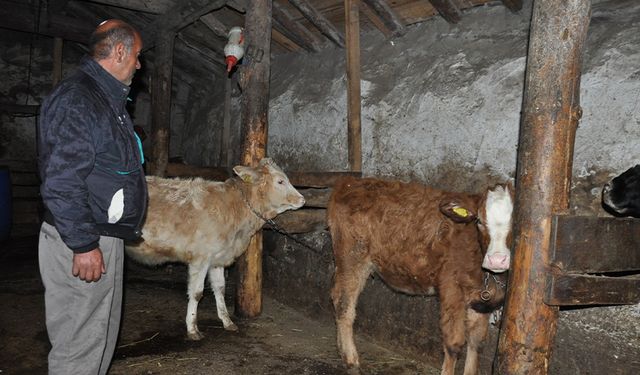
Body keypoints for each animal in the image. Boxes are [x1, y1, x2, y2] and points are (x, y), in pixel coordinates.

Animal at [126, 159, 306, 340]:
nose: (302, 199)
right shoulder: (201, 257)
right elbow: (197, 293)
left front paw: (227, 321)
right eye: (280, 181)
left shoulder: (218, 258)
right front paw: (192, 329)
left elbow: (220, 288)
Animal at [328, 177, 512, 375]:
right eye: (478, 220)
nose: (496, 260)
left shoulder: (481, 301)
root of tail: (349, 182)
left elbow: (476, 342)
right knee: (343, 302)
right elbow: (454, 343)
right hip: (352, 257)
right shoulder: (452, 288)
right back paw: (351, 358)